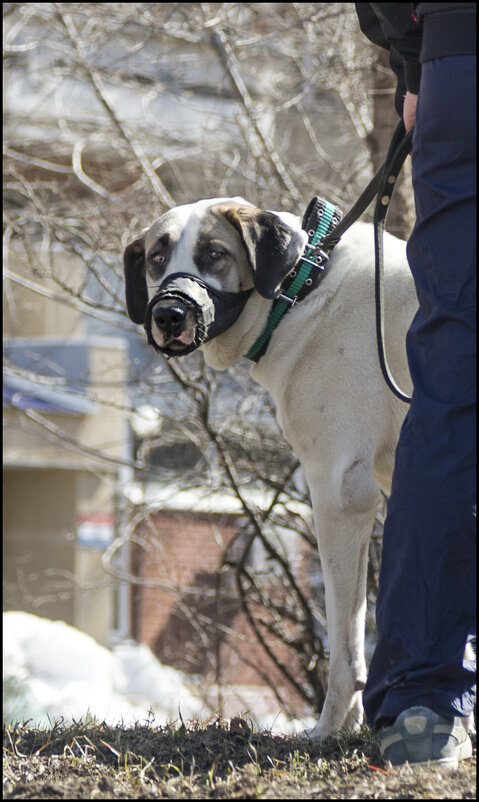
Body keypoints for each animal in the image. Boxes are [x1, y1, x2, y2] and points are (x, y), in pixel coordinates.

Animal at [124, 197, 420, 736]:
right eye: (156, 258)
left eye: (215, 254)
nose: (169, 314)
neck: (299, 289)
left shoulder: (339, 493)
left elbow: (345, 642)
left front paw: (330, 731)